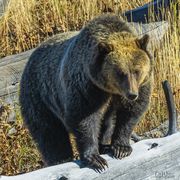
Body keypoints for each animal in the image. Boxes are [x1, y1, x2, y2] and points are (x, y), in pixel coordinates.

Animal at [19, 13, 153, 170]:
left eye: (137, 71)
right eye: (121, 73)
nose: (132, 94)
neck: (109, 88)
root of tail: (30, 59)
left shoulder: (141, 85)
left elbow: (131, 113)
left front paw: (121, 148)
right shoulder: (86, 86)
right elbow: (84, 117)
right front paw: (95, 158)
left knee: (107, 122)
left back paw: (104, 145)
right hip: (39, 97)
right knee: (50, 133)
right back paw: (60, 160)